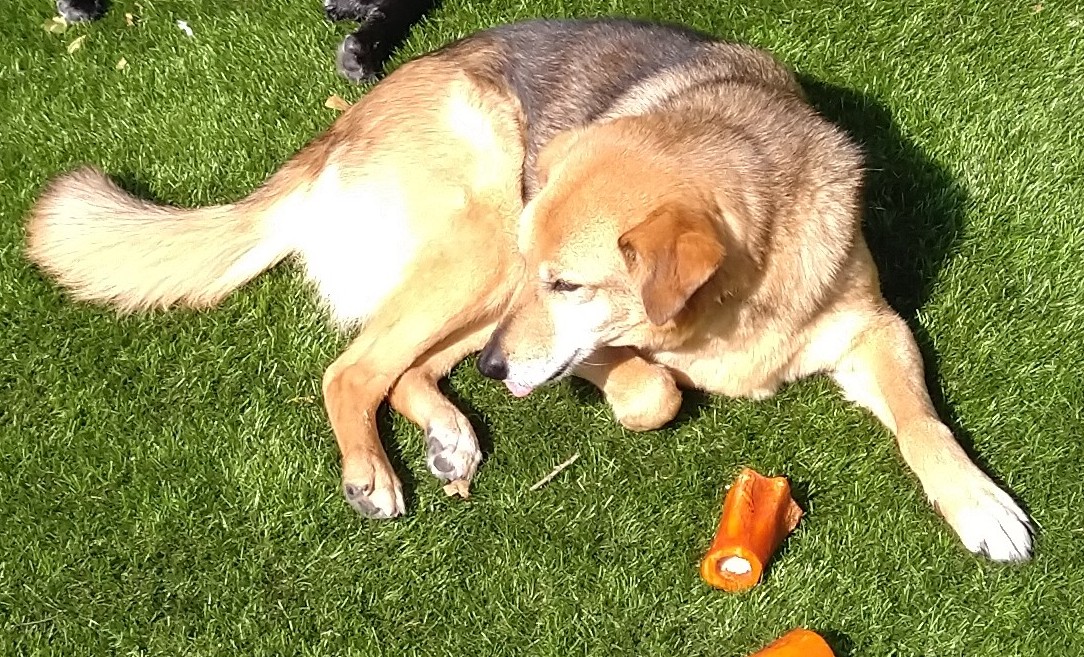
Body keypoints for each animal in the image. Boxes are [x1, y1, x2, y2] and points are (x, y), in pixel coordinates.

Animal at [24, 18, 1033, 562]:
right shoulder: (563, 336)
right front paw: (640, 380)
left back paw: (448, 432)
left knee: (404, 367)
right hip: (484, 237)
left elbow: (925, 421)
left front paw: (980, 503)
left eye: (571, 280)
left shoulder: (875, 328)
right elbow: (648, 388)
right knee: (353, 368)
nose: (502, 371)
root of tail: (333, 137)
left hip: (476, 276)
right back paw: (374, 472)